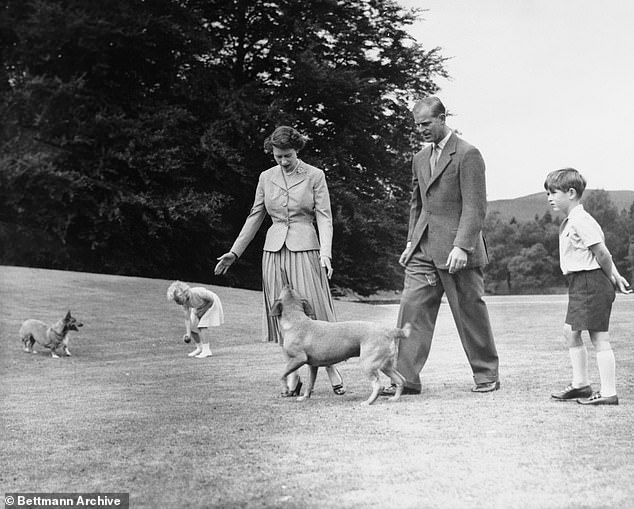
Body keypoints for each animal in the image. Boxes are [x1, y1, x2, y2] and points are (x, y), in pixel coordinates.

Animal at [270, 284, 408, 402]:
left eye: (287, 291)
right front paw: (305, 397)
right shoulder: (313, 366)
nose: (287, 284)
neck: (296, 320)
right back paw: (394, 398)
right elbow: (310, 383)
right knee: (401, 380)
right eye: (292, 291)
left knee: (378, 386)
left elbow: (282, 375)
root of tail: (389, 331)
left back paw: (368, 402)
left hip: (367, 364)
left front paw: (285, 390)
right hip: (385, 365)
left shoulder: (298, 359)